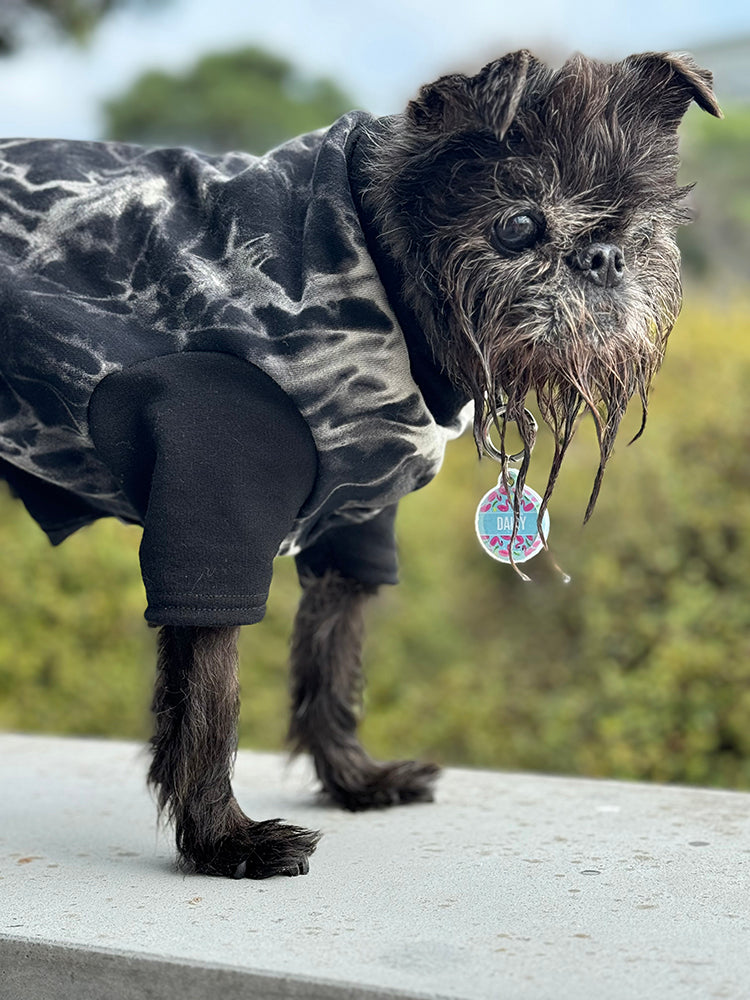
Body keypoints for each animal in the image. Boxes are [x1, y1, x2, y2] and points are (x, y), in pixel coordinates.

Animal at [0, 48, 724, 876]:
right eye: (517, 224)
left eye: (641, 225)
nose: (604, 257)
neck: (375, 262)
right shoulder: (209, 511)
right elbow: (210, 695)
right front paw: (224, 841)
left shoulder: (356, 520)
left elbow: (330, 659)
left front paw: (351, 779)